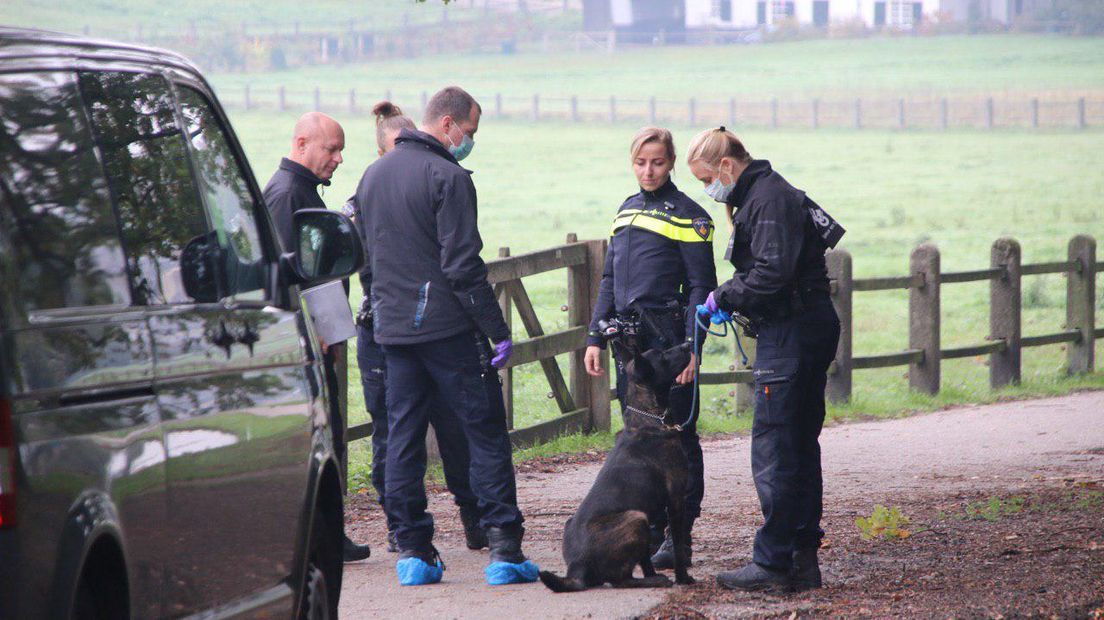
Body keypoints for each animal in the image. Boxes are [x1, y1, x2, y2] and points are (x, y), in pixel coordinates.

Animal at [538, 339, 693, 591]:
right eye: (662, 356)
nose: (688, 344)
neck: (648, 417)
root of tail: (577, 568)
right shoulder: (676, 499)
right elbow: (678, 546)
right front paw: (683, 578)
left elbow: (645, 558)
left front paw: (652, 572)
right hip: (635, 518)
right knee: (620, 580)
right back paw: (655, 581)